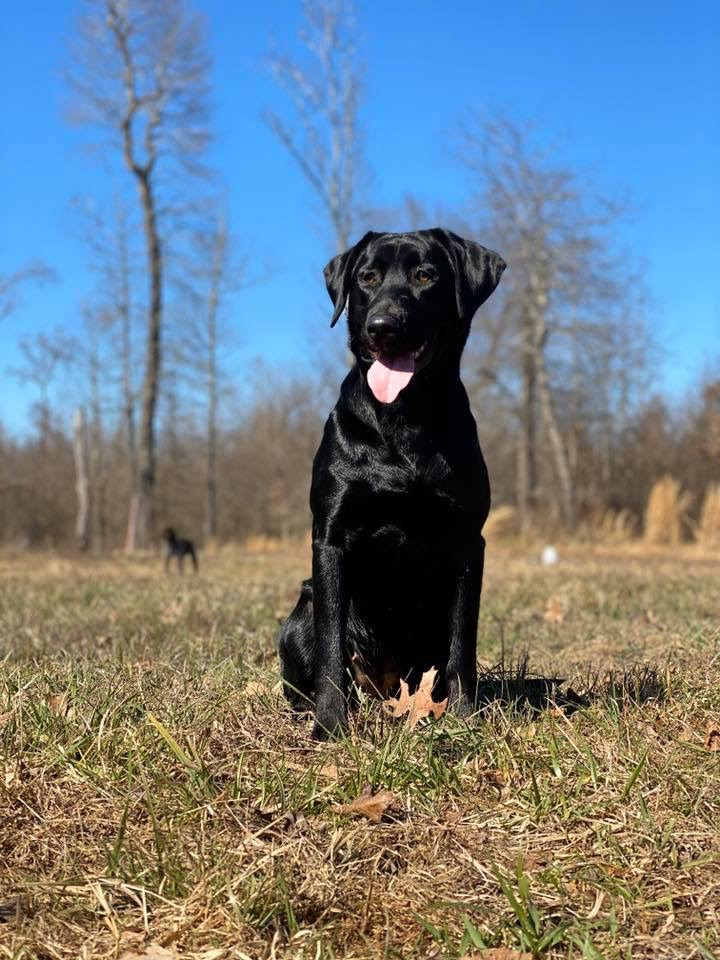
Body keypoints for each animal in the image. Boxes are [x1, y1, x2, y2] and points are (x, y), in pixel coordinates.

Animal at [278, 229, 506, 740]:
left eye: (425, 275)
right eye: (367, 277)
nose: (382, 326)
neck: (404, 418)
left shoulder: (469, 541)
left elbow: (462, 646)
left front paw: (465, 718)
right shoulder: (331, 536)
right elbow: (330, 647)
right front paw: (329, 726)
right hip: (300, 613)